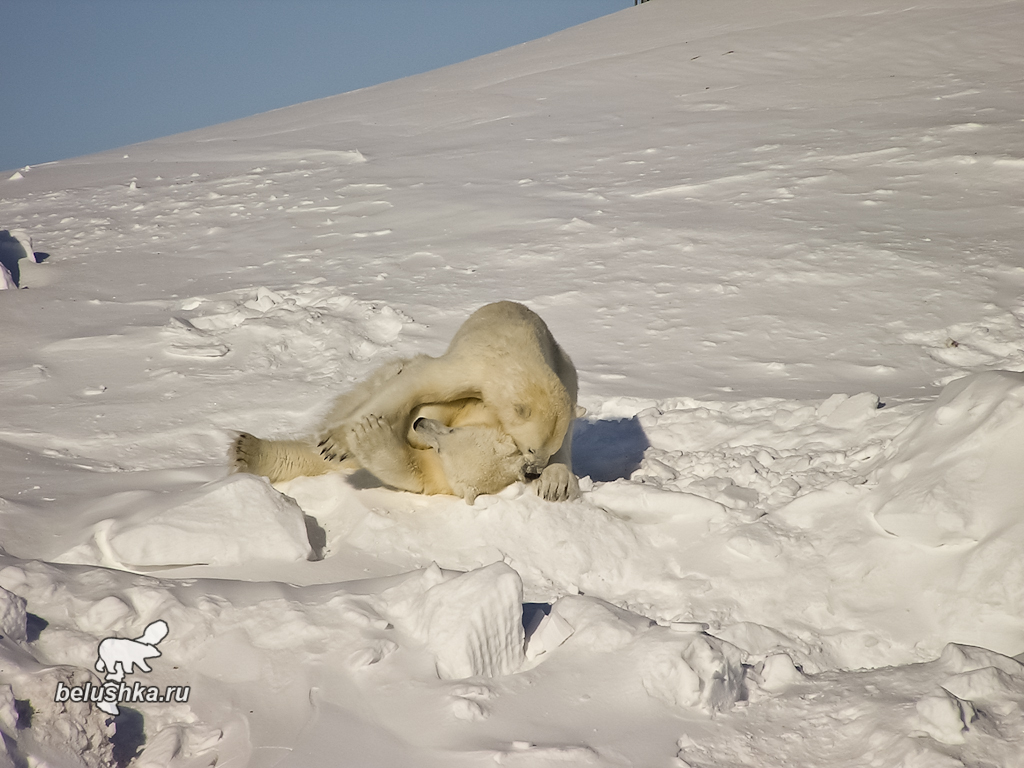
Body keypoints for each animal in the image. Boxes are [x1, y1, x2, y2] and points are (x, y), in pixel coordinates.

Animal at [317, 301, 584, 501]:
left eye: (548, 451)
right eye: (530, 448)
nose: (534, 470)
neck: (514, 362)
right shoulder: (473, 367)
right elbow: (418, 383)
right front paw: (333, 445)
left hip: (566, 367)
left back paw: (557, 482)